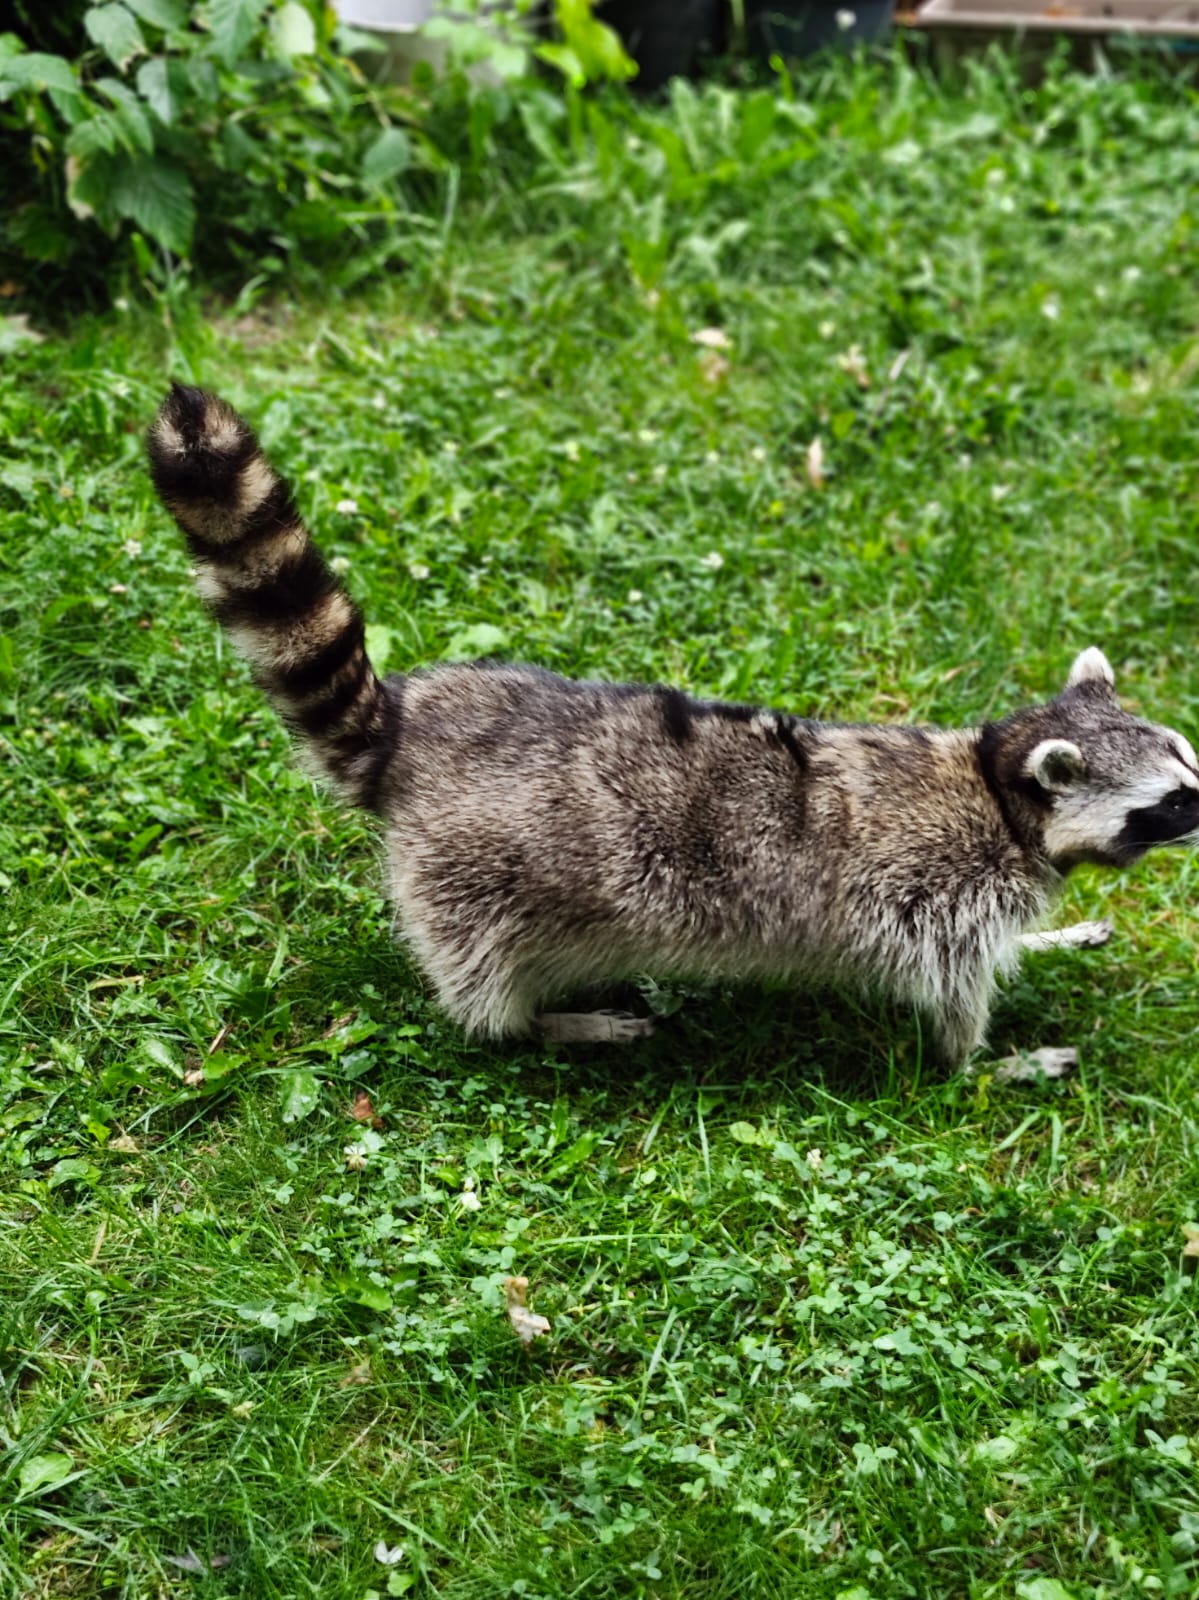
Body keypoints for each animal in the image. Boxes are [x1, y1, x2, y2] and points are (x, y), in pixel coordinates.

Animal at [147, 385, 1199, 1076]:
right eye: (1174, 800)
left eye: (1190, 760)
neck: (995, 782)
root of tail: (415, 733)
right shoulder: (936, 897)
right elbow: (949, 1004)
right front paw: (982, 1063)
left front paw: (1046, 943)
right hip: (471, 883)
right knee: (485, 996)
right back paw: (542, 1023)